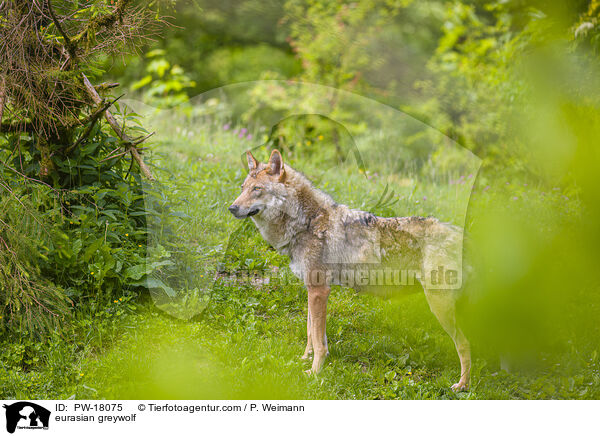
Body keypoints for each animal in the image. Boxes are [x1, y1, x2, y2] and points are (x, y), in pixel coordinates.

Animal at [227, 150, 472, 392]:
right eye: (242, 188)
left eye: (257, 189)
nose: (232, 208)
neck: (307, 222)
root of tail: (463, 236)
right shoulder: (312, 290)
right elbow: (311, 332)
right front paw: (305, 359)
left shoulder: (319, 291)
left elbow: (318, 340)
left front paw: (314, 373)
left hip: (440, 308)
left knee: (465, 344)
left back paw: (462, 386)